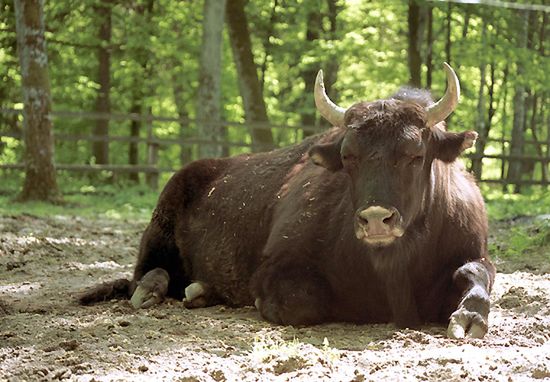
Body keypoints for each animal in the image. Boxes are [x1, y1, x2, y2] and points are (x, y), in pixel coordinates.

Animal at [80, 63, 498, 340]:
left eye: (415, 153)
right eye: (348, 155)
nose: (376, 219)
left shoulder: (471, 253)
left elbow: (478, 276)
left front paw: (468, 320)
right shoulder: (277, 266)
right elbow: (305, 301)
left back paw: (199, 292)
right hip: (158, 227)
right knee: (145, 273)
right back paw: (153, 293)